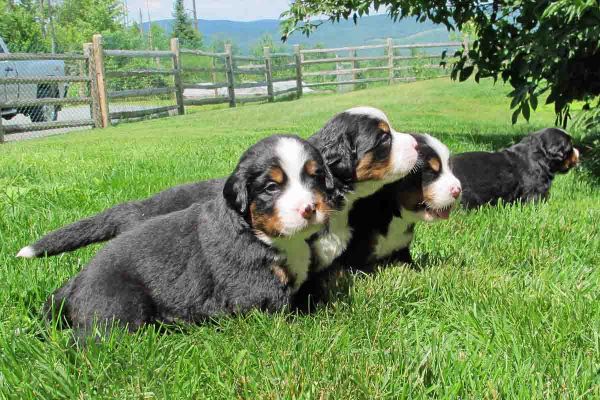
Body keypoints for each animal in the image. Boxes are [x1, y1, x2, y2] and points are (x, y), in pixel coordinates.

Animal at [44, 135, 340, 338]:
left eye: (315, 177)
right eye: (271, 187)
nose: (309, 208)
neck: (258, 233)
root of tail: (78, 281)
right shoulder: (256, 290)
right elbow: (282, 319)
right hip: (116, 312)